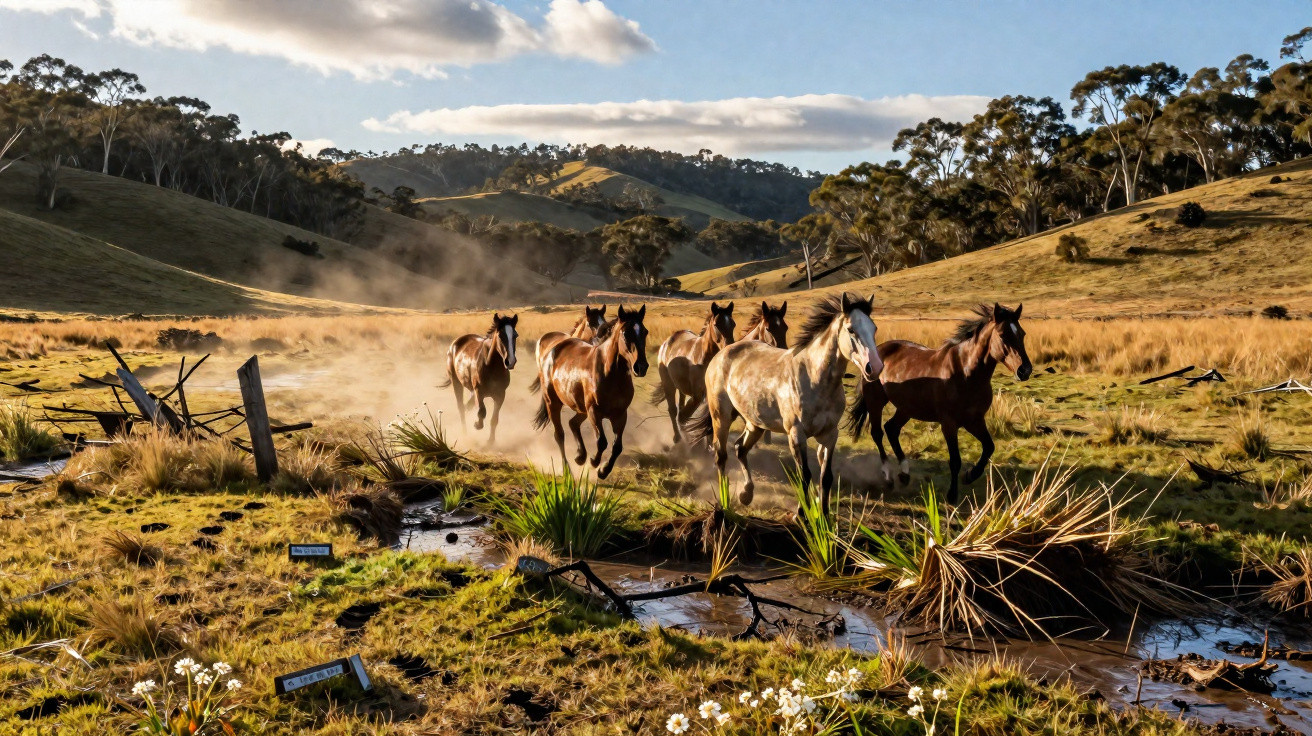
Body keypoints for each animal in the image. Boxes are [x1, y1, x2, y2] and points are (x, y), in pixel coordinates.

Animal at [440, 312, 520, 445]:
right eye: (500, 335)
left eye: (515, 335)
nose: (510, 361)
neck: (491, 366)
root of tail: (455, 343)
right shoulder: (479, 391)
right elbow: (482, 412)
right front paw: (477, 424)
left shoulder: (500, 395)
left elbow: (494, 419)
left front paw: (491, 441)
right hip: (456, 383)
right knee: (461, 408)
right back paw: (464, 433)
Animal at [532, 304, 649, 480]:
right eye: (625, 333)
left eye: (645, 332)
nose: (641, 367)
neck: (612, 375)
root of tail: (553, 350)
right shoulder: (594, 411)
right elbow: (602, 441)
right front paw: (594, 462)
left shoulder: (621, 414)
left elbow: (617, 446)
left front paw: (603, 470)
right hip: (554, 403)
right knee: (559, 434)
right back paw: (567, 469)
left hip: (581, 407)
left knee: (573, 423)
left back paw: (580, 457)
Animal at [649, 301, 736, 443]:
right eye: (716, 324)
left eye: (733, 324)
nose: (730, 348)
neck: (703, 357)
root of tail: (667, 341)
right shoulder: (697, 396)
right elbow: (683, 416)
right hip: (668, 384)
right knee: (673, 411)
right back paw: (677, 437)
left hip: (681, 387)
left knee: (679, 408)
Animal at [685, 293, 883, 512]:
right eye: (851, 330)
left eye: (874, 328)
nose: (874, 367)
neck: (815, 378)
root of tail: (723, 352)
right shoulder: (796, 435)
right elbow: (804, 476)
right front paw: (802, 514)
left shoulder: (830, 435)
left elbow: (826, 477)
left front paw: (824, 516)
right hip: (721, 417)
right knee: (721, 455)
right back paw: (725, 498)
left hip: (755, 422)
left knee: (740, 448)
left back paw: (746, 494)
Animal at [846, 303, 1032, 504]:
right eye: (1003, 335)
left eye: (1022, 334)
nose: (1025, 370)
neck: (966, 373)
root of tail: (875, 353)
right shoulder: (949, 424)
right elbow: (955, 460)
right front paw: (952, 495)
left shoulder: (975, 420)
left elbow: (989, 447)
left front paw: (970, 475)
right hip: (876, 402)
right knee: (878, 433)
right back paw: (888, 477)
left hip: (906, 408)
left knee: (891, 429)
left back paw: (904, 474)